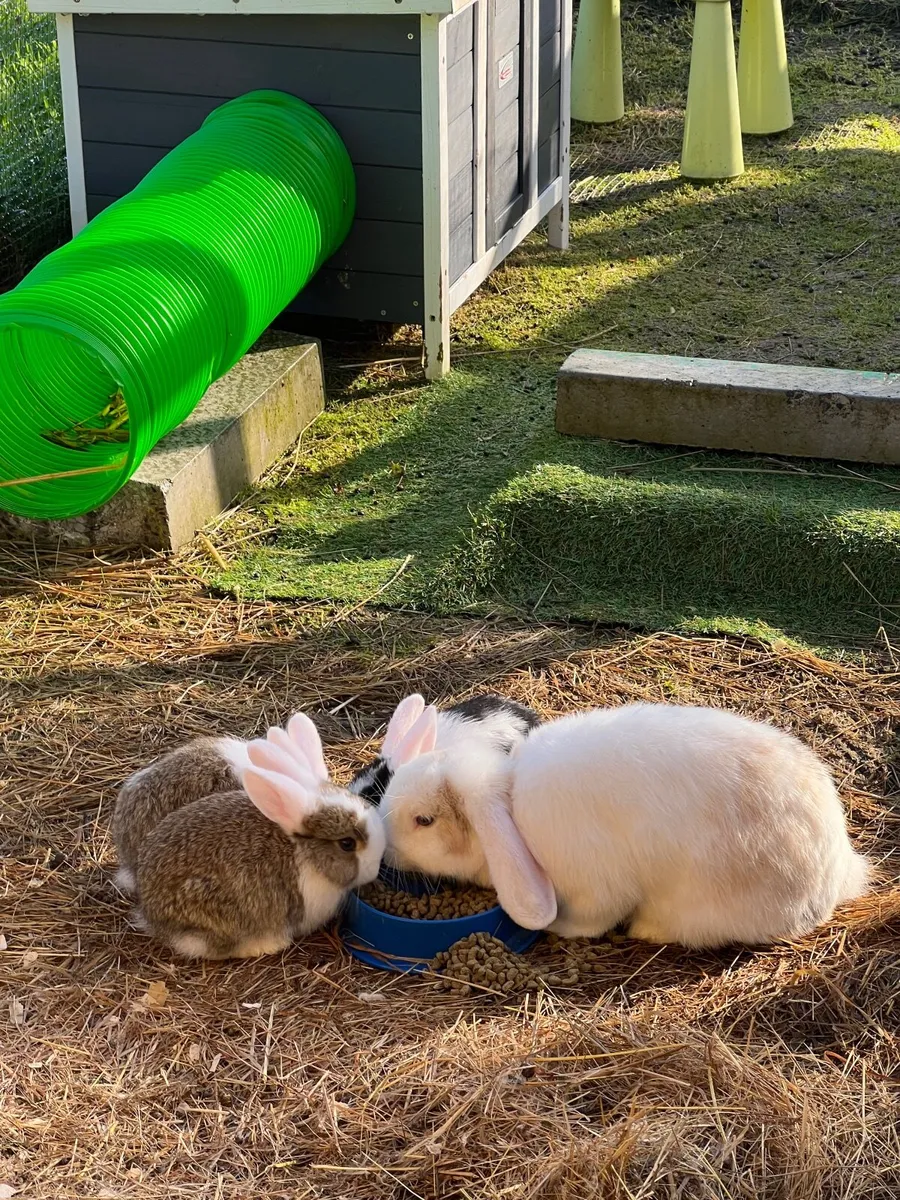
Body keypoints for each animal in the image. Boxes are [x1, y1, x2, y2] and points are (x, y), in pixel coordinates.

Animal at [379, 703, 871, 949]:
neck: (511, 805)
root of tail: (837, 876)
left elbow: (591, 921)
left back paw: (646, 930)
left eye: (424, 821)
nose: (385, 851)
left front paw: (559, 929)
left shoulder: (595, 886)